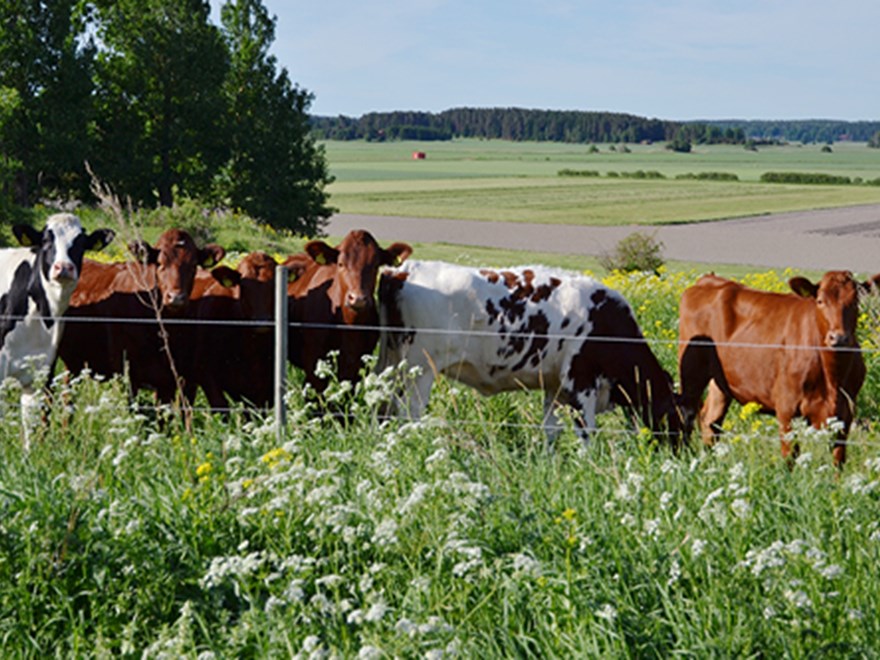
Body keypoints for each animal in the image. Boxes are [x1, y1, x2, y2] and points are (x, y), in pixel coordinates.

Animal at [288, 229, 414, 392]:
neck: (349, 325)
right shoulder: (313, 365)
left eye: (375, 265)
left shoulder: (358, 365)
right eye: (340, 264)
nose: (358, 298)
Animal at [376, 260, 680, 448]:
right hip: (419, 370)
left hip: (394, 365)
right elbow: (586, 430)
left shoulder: (555, 385)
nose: (682, 452)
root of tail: (402, 271)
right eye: (680, 417)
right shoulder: (581, 380)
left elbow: (551, 429)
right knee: (409, 413)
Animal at [676, 270, 868, 466]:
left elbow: (838, 460)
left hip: (720, 382)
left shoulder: (845, 414)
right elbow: (790, 457)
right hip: (691, 371)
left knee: (711, 420)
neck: (832, 377)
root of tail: (709, 279)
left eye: (856, 302)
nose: (839, 338)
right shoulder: (786, 408)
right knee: (687, 412)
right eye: (820, 301)